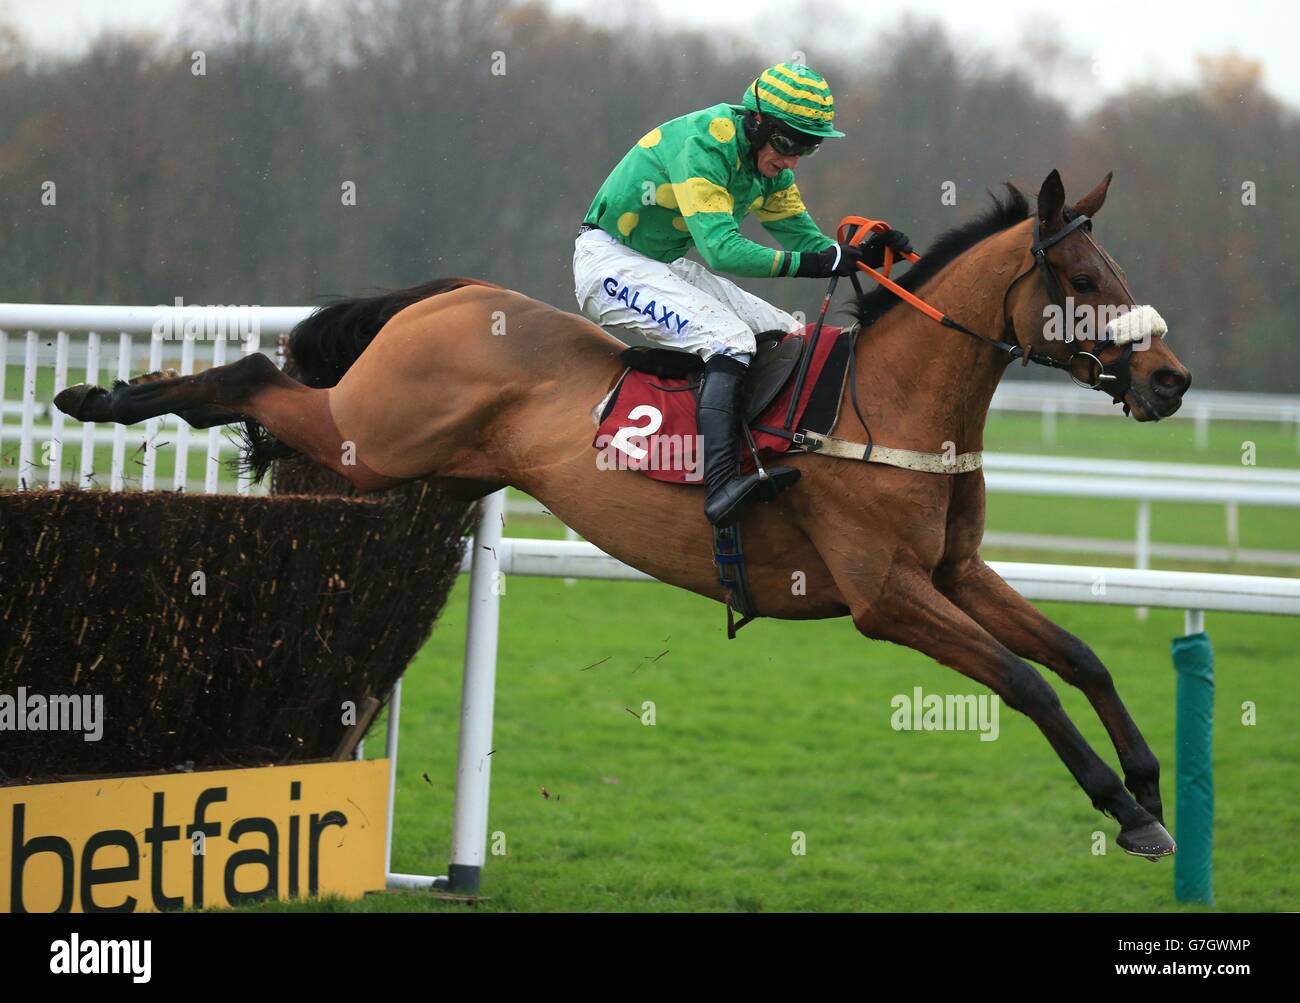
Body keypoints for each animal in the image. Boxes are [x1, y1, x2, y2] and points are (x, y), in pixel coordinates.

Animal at [63, 170, 1196, 862]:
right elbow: (1025, 682)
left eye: (1118, 272)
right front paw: (1125, 809)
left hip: (391, 466)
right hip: (370, 431)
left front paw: (1149, 781)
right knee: (256, 375)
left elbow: (1081, 657)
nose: (1171, 380)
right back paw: (101, 397)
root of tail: (447, 294)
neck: (890, 405)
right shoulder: (887, 595)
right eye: (1082, 277)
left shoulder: (955, 573)